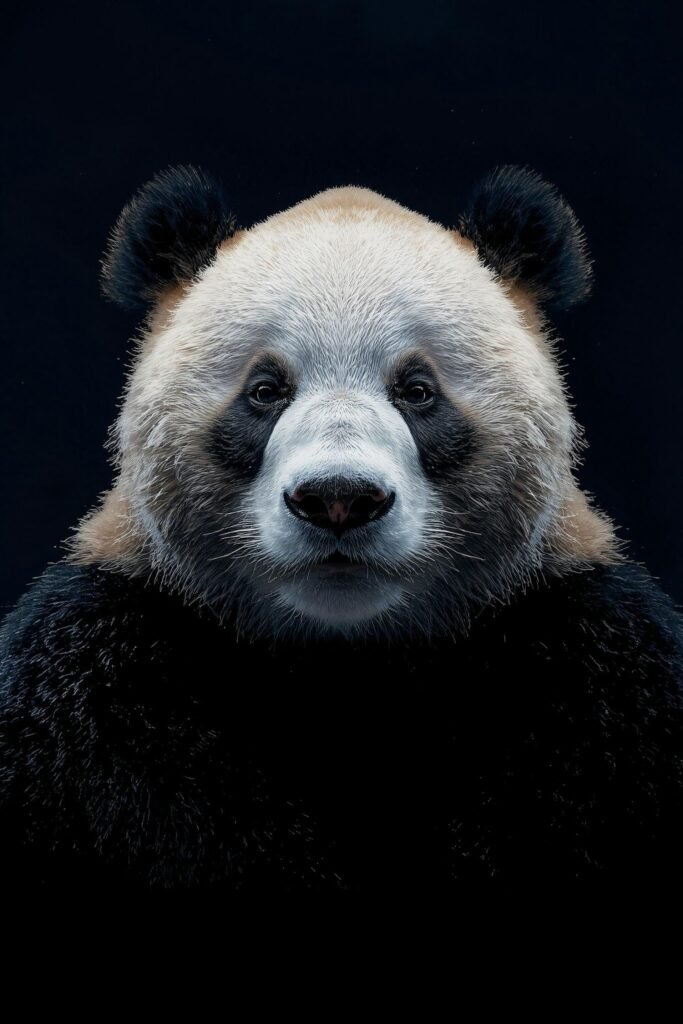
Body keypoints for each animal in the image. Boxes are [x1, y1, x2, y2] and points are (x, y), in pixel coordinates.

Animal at [1, 164, 682, 890]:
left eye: (417, 391)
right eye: (265, 391)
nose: (338, 499)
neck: (347, 658)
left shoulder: (604, 666)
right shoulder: (85, 671)